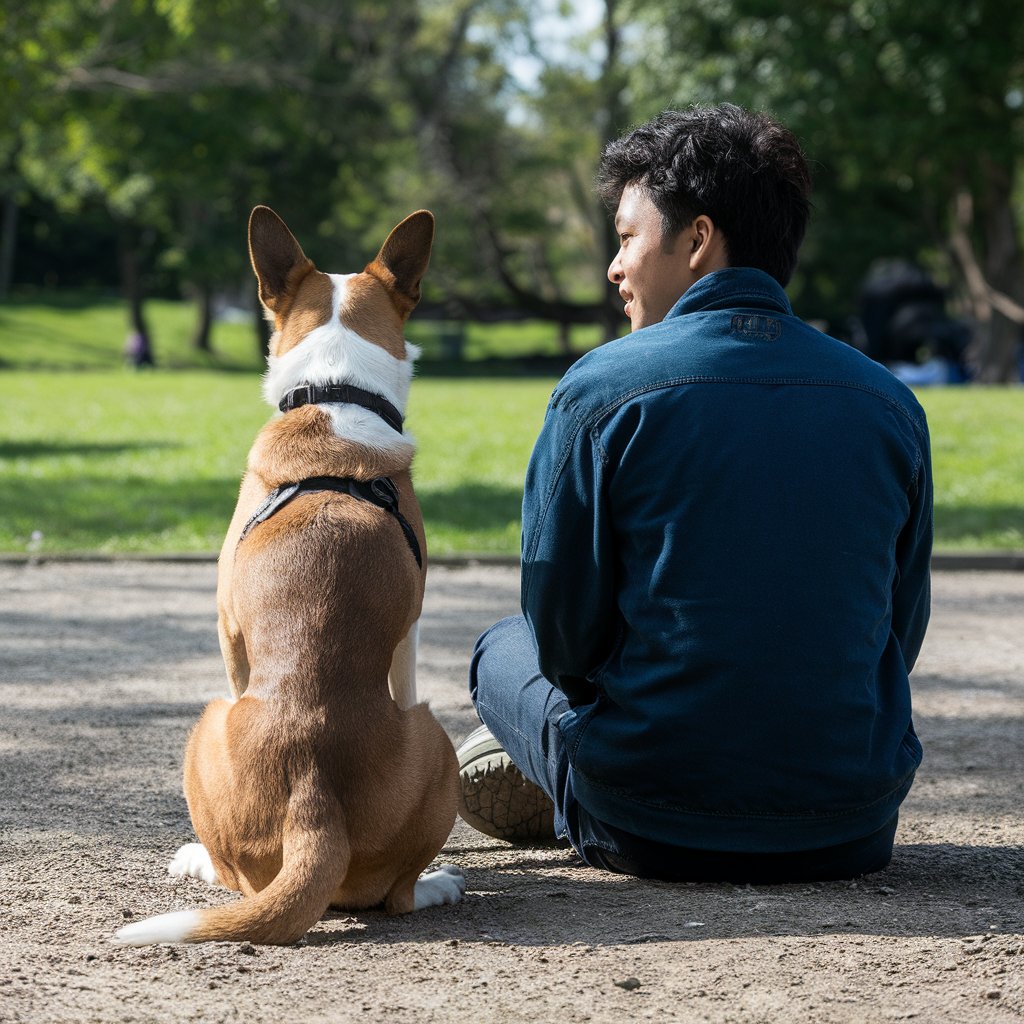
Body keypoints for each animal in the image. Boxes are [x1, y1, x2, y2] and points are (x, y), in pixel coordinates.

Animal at [114, 205, 462, 942]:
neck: (333, 396)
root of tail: (313, 795)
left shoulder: (227, 627)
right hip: (426, 729)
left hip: (208, 720)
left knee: (359, 893)